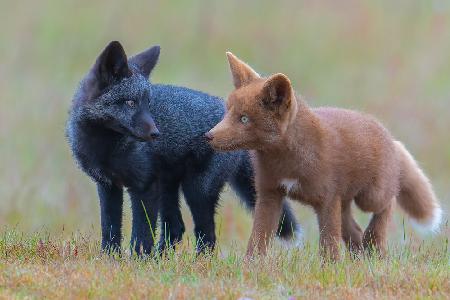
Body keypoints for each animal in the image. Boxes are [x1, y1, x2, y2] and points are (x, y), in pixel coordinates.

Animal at [66, 41, 302, 254]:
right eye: (131, 103)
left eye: (148, 104)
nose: (156, 134)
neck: (106, 149)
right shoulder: (108, 186)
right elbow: (110, 229)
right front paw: (111, 260)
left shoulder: (144, 185)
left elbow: (142, 233)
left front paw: (137, 261)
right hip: (169, 188)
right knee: (176, 229)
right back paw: (160, 260)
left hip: (196, 190)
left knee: (206, 236)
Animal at [207, 52, 442, 258]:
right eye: (228, 112)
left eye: (244, 119)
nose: (208, 136)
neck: (288, 162)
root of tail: (390, 138)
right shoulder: (269, 195)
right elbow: (258, 239)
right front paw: (252, 266)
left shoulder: (327, 200)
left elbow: (328, 244)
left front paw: (330, 268)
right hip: (344, 202)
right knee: (354, 232)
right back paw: (363, 258)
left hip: (369, 198)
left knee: (388, 202)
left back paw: (375, 242)